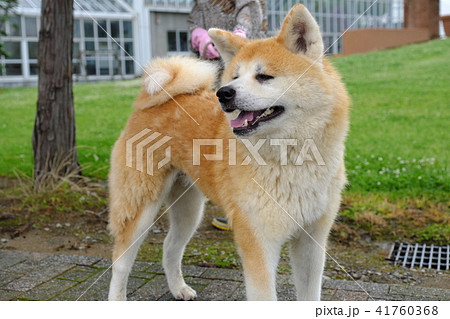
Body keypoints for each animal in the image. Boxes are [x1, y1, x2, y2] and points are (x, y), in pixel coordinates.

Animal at [107, 3, 350, 302]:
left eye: (264, 76)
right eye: (235, 77)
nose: (223, 93)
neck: (291, 157)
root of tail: (153, 100)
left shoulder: (312, 242)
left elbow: (310, 295)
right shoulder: (258, 241)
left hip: (189, 208)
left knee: (170, 247)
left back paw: (178, 288)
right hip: (140, 206)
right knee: (120, 262)